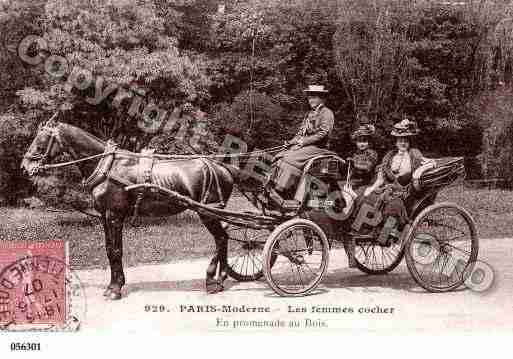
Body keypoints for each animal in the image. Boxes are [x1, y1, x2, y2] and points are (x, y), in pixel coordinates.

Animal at [22, 116, 244, 300]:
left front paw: (115, 289)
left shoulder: (115, 215)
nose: (24, 167)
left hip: (207, 212)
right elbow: (109, 250)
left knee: (221, 239)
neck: (108, 166)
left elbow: (116, 251)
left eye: (42, 139)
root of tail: (222, 168)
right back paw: (221, 278)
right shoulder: (104, 216)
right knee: (223, 237)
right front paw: (113, 285)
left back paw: (212, 280)